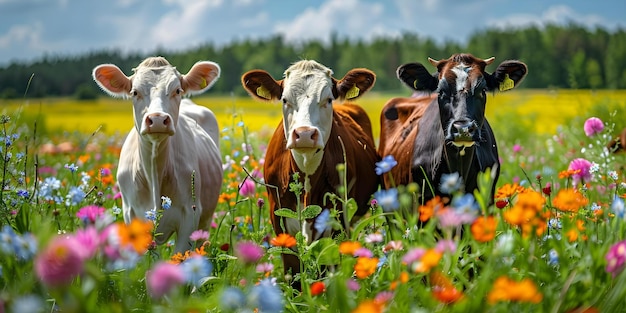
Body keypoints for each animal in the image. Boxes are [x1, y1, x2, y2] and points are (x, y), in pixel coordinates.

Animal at [91, 56, 222, 251]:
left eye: (177, 90)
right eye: (135, 92)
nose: (158, 119)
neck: (155, 173)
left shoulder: (190, 216)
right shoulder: (131, 214)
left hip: (205, 220)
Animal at [240, 59, 378, 286]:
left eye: (328, 99)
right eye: (285, 99)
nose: (304, 134)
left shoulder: (336, 220)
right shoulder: (278, 216)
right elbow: (293, 276)